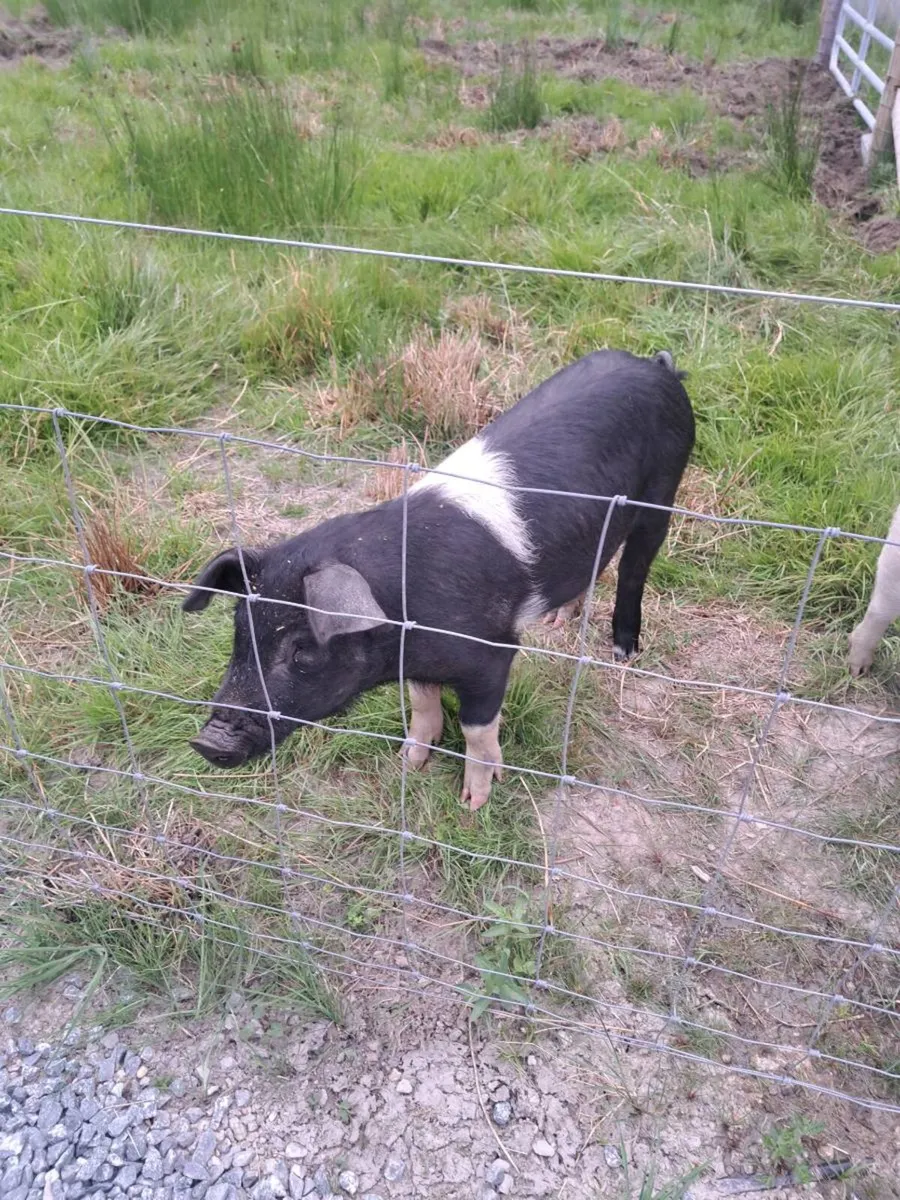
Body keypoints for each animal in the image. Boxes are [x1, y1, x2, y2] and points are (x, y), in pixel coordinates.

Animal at [182, 348, 695, 810]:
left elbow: (476, 727)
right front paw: (408, 762)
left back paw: (623, 653)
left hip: (665, 488)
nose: (207, 742)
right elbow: (423, 700)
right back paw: (559, 621)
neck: (402, 620)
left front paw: (474, 802)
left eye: (303, 652)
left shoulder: (494, 653)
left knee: (634, 567)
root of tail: (657, 367)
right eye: (239, 633)